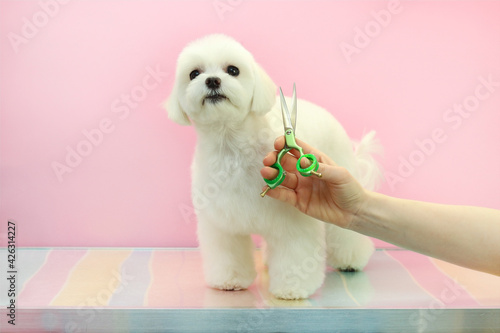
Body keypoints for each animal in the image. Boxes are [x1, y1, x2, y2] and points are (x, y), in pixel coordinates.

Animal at [166, 33, 380, 298]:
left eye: (233, 70)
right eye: (194, 73)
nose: (212, 80)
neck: (231, 145)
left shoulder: (293, 222)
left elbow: (295, 253)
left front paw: (292, 288)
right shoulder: (221, 222)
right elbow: (228, 252)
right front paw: (230, 280)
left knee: (345, 234)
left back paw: (352, 260)